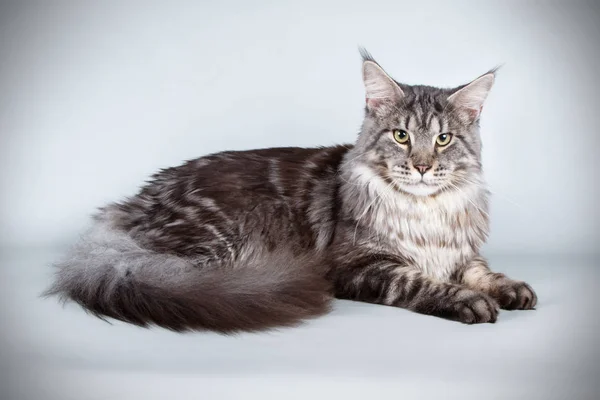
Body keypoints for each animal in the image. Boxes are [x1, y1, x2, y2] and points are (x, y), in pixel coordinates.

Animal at [44, 49, 536, 332]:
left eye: (443, 139)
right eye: (401, 135)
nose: (421, 166)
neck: (425, 211)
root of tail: (130, 208)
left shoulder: (461, 252)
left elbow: (482, 272)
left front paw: (510, 289)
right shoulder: (362, 265)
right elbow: (421, 283)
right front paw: (468, 301)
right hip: (216, 245)